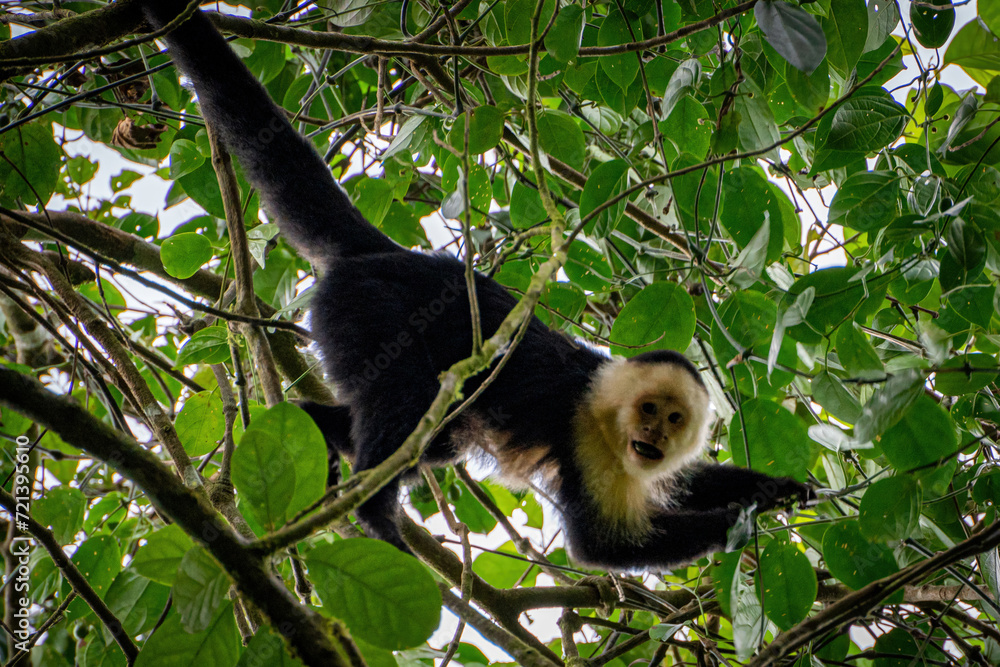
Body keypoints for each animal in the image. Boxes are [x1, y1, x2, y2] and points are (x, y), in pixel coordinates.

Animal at [143, 0, 813, 571]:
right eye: (648, 411)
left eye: (673, 420)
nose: (652, 435)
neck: (610, 418)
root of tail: (386, 254)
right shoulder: (587, 440)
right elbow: (601, 547)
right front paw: (736, 521)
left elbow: (685, 480)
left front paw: (772, 488)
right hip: (365, 311)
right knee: (405, 399)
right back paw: (375, 511)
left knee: (430, 437)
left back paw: (313, 433)